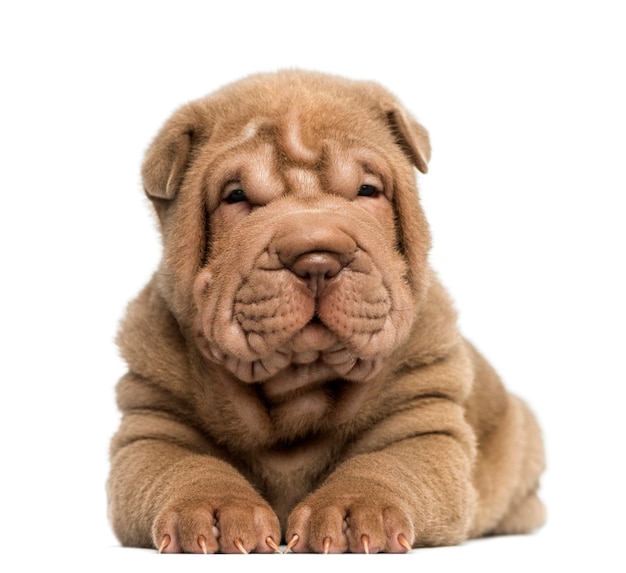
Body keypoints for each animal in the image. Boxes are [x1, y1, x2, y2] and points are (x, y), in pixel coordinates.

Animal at [106, 69, 540, 552]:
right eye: (236, 196)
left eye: (368, 190)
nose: (317, 260)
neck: (300, 381)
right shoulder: (153, 427)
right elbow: (187, 466)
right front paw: (215, 510)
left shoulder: (423, 423)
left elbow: (385, 464)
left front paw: (353, 509)